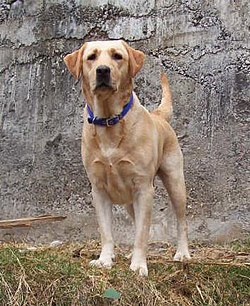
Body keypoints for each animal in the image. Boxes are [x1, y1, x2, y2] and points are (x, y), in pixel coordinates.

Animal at [63, 39, 190, 276]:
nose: (103, 70)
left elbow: (142, 233)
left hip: (175, 182)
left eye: (117, 56)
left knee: (181, 221)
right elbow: (106, 232)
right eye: (91, 57)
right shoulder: (99, 190)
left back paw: (182, 253)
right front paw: (104, 260)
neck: (109, 121)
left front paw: (139, 265)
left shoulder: (143, 188)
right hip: (131, 201)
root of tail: (158, 115)